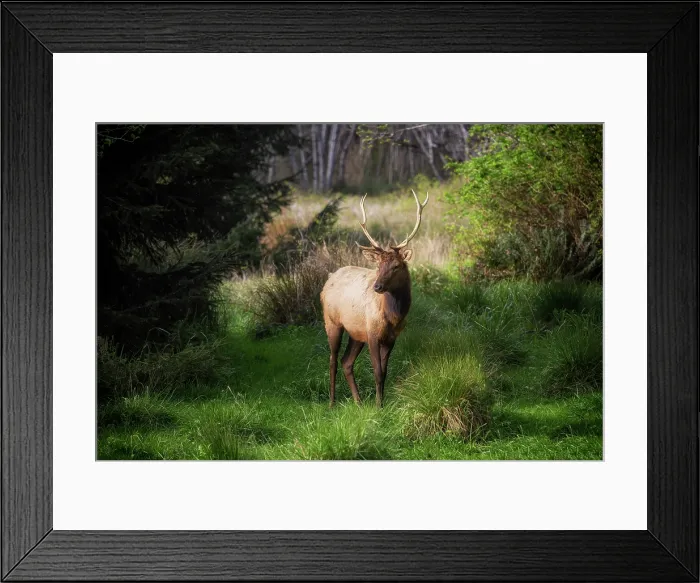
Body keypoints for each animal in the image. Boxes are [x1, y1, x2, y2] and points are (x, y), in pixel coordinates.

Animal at [320, 190, 429, 408]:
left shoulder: (391, 337)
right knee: (333, 360)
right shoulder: (372, 332)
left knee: (346, 361)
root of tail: (328, 280)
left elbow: (385, 372)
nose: (377, 286)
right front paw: (379, 406)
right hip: (332, 322)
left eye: (396, 266)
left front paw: (381, 402)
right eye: (378, 265)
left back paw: (358, 401)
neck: (393, 316)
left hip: (355, 332)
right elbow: (377, 371)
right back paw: (332, 402)